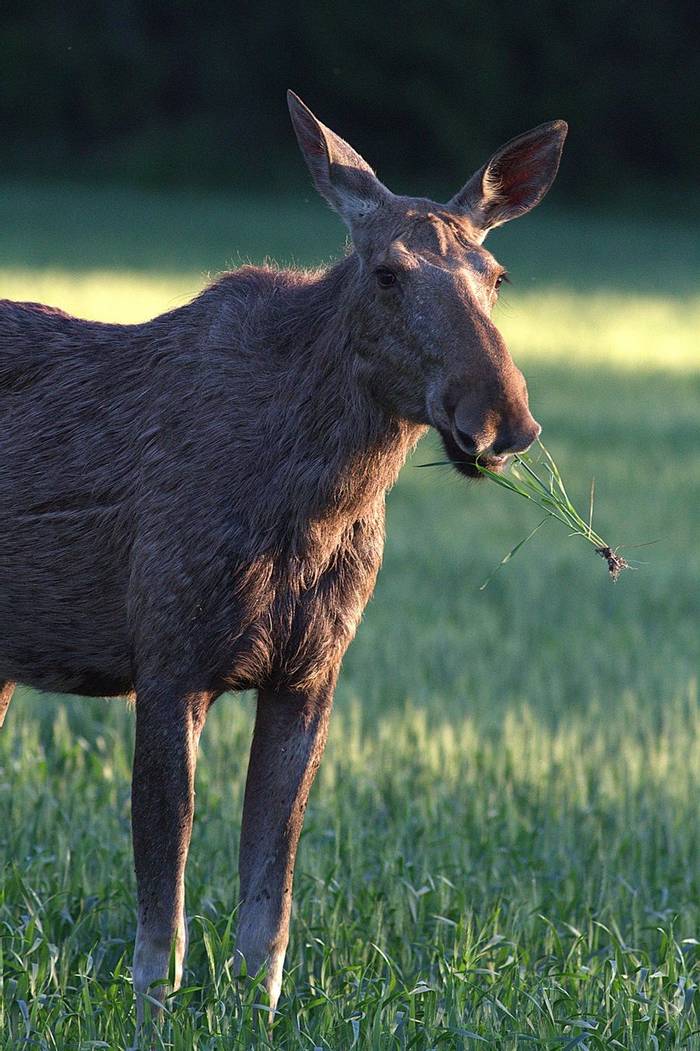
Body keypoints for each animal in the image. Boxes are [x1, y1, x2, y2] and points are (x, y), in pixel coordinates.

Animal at [0, 94, 567, 1021]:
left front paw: (251, 1012)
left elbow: (269, 908)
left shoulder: (311, 671)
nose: (503, 420)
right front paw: (155, 1014)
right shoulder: (167, 654)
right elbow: (161, 917)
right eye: (387, 273)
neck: (311, 510)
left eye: (497, 274)